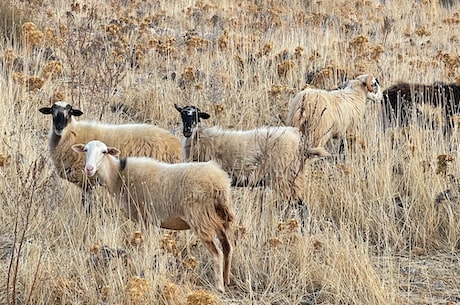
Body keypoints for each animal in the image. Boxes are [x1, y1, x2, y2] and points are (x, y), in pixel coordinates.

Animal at [39, 101, 182, 213]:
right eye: (52, 111)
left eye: (69, 113)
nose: (59, 127)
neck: (71, 135)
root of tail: (176, 145)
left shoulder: (87, 180)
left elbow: (87, 205)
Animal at [72, 139, 237, 290]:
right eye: (85, 150)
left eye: (104, 152)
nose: (89, 168)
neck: (117, 176)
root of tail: (220, 183)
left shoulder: (144, 217)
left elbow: (146, 247)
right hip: (219, 217)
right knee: (228, 248)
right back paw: (226, 280)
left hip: (200, 218)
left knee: (217, 254)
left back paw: (219, 287)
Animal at [174, 103, 308, 222]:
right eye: (182, 114)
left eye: (196, 116)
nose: (187, 131)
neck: (200, 138)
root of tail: (297, 139)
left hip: (287, 178)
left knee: (301, 206)